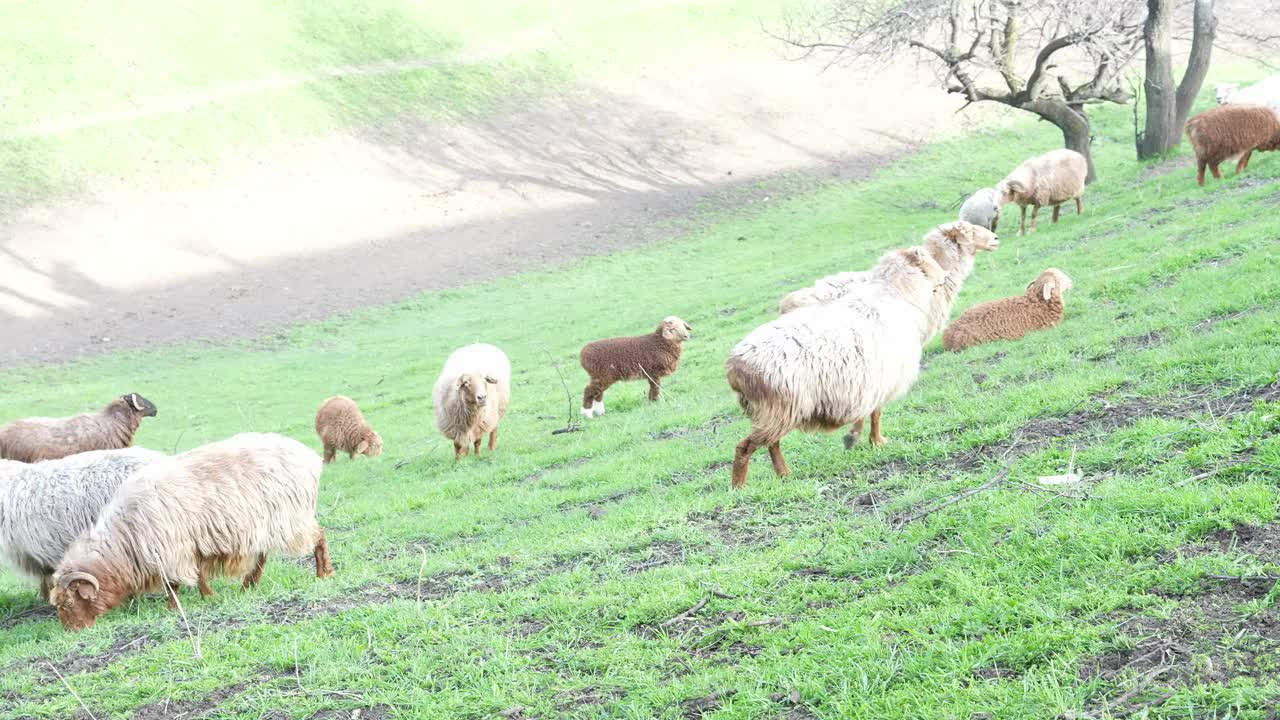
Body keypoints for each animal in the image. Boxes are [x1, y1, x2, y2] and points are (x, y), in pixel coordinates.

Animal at [48, 430, 332, 627]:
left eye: (69, 601)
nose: (73, 632)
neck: (125, 539)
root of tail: (309, 456)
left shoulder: (171, 549)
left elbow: (174, 583)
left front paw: (180, 605)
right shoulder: (186, 547)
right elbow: (197, 575)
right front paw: (206, 595)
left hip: (291, 518)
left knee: (318, 537)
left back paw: (323, 573)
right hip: (266, 525)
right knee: (262, 556)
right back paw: (248, 586)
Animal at [727, 245, 947, 486]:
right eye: (930, 261)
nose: (945, 277)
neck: (896, 294)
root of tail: (734, 367)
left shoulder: (866, 382)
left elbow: (866, 413)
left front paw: (856, 437)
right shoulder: (882, 379)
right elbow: (876, 414)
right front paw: (876, 440)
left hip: (775, 413)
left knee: (772, 444)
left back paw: (784, 474)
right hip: (778, 409)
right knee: (744, 447)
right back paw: (739, 487)